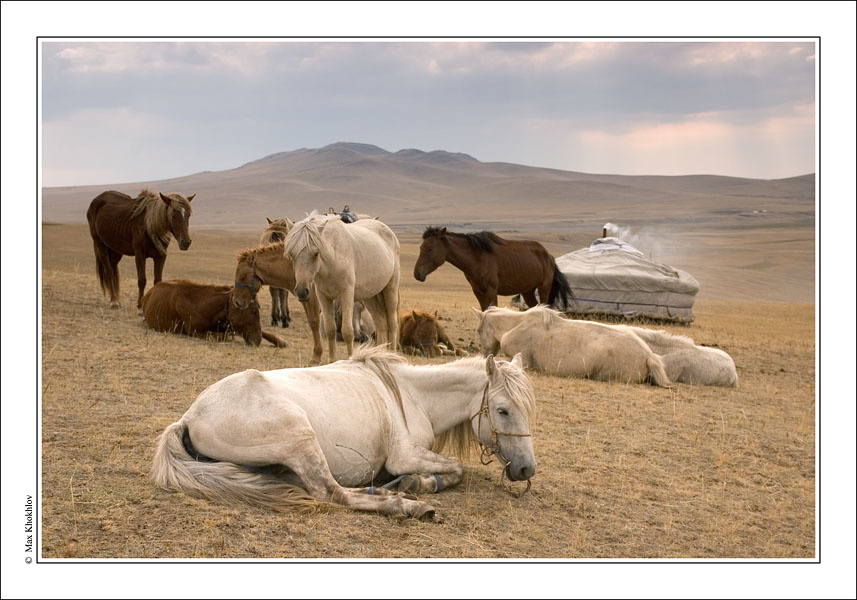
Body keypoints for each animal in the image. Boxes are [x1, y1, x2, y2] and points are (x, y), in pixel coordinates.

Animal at [151, 347, 536, 520]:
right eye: (503, 410)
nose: (526, 469)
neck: (413, 394)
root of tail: (189, 417)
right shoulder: (404, 456)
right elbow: (457, 468)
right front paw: (418, 484)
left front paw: (414, 483)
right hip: (301, 439)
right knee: (331, 492)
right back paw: (404, 504)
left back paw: (388, 491)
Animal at [285, 213, 400, 362]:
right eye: (291, 254)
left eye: (316, 253)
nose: (302, 292)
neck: (333, 259)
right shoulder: (324, 297)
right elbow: (330, 330)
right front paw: (332, 361)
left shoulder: (347, 295)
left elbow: (347, 331)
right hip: (371, 296)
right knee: (381, 323)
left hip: (390, 290)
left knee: (392, 323)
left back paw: (392, 355)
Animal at [413, 227, 574, 311]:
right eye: (420, 247)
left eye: (430, 248)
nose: (417, 273)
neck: (477, 258)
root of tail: (550, 257)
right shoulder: (478, 292)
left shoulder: (491, 291)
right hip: (528, 291)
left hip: (543, 288)